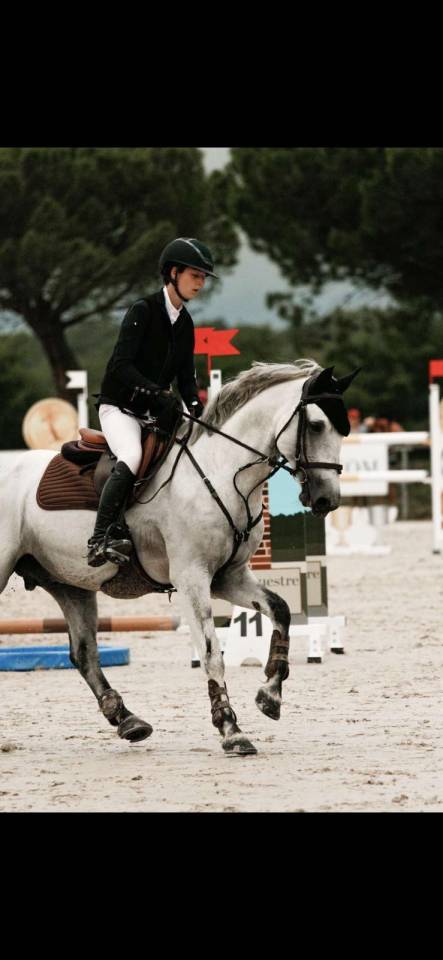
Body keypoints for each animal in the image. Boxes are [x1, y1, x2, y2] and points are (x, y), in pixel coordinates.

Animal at [0, 359, 357, 756]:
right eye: (317, 425)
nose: (327, 500)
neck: (221, 471)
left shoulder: (229, 576)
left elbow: (280, 609)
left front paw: (270, 695)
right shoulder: (192, 577)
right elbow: (211, 651)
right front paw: (231, 729)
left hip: (69, 584)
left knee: (84, 654)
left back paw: (128, 721)